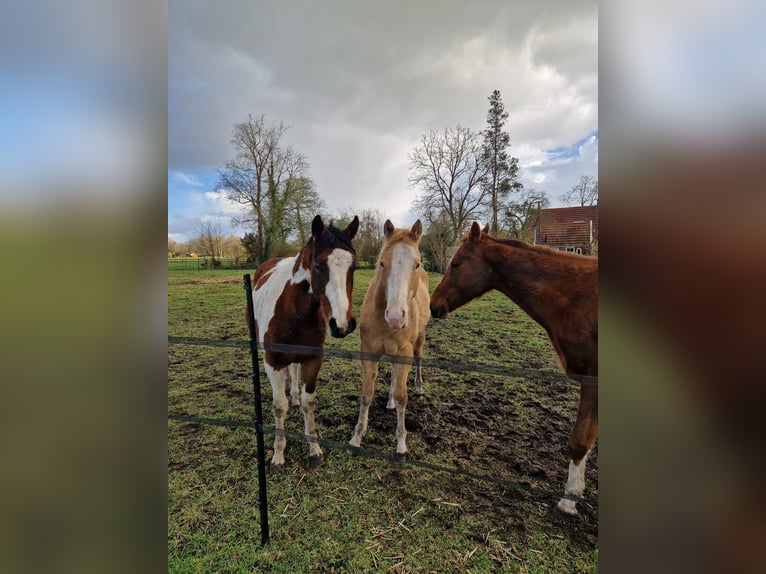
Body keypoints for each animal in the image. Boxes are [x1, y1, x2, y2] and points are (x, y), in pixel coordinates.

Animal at [249, 214, 359, 470]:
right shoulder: (272, 361)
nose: (342, 324)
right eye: (318, 265)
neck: (294, 310)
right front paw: (278, 455)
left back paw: (294, 395)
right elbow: (279, 406)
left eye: (354, 267)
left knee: (293, 371)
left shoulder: (312, 359)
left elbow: (309, 402)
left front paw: (314, 449)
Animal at [349, 220, 430, 459]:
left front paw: (401, 445)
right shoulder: (368, 352)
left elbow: (403, 397)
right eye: (383, 263)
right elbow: (366, 394)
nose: (396, 317)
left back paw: (419, 387)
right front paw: (357, 437)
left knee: (417, 361)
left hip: (418, 341)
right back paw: (390, 402)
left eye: (417, 264)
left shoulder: (404, 353)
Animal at [430, 222, 598, 515]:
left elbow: (580, 440)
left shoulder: (593, 380)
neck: (574, 296)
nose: (433, 304)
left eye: (457, 263)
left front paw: (569, 500)